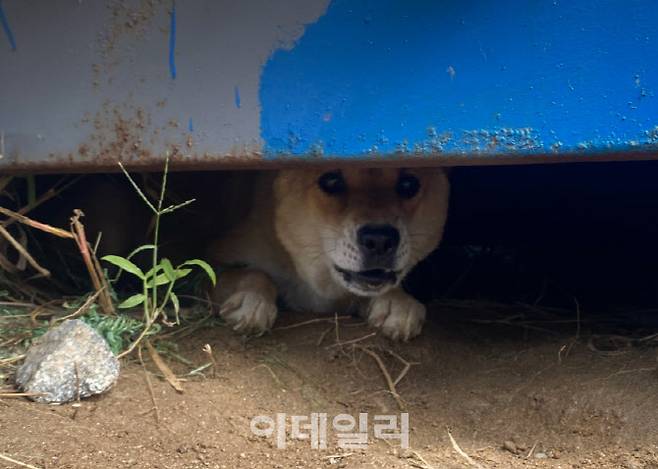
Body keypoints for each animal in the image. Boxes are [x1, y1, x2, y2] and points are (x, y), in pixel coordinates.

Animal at [208, 168, 448, 340]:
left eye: (409, 184)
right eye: (331, 181)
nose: (380, 239)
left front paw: (397, 301)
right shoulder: (214, 262)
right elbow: (255, 273)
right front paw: (253, 299)